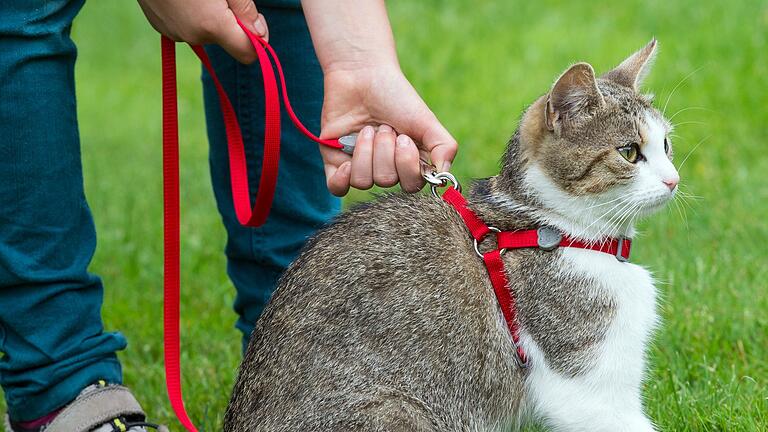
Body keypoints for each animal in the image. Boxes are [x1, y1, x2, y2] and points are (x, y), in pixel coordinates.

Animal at [225, 40, 680, 432]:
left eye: (666, 146)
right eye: (629, 152)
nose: (674, 179)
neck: (555, 229)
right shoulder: (587, 389)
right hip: (398, 412)